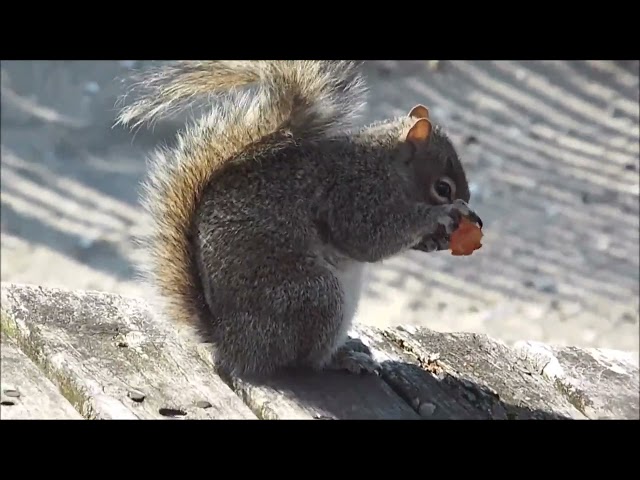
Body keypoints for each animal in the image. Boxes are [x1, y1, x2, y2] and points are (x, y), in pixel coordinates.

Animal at [117, 61, 482, 378]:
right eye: (443, 188)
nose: (474, 216)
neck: (386, 164)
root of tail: (229, 340)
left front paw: (439, 238)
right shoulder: (351, 195)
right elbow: (370, 238)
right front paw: (443, 215)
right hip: (314, 295)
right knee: (305, 361)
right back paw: (342, 360)